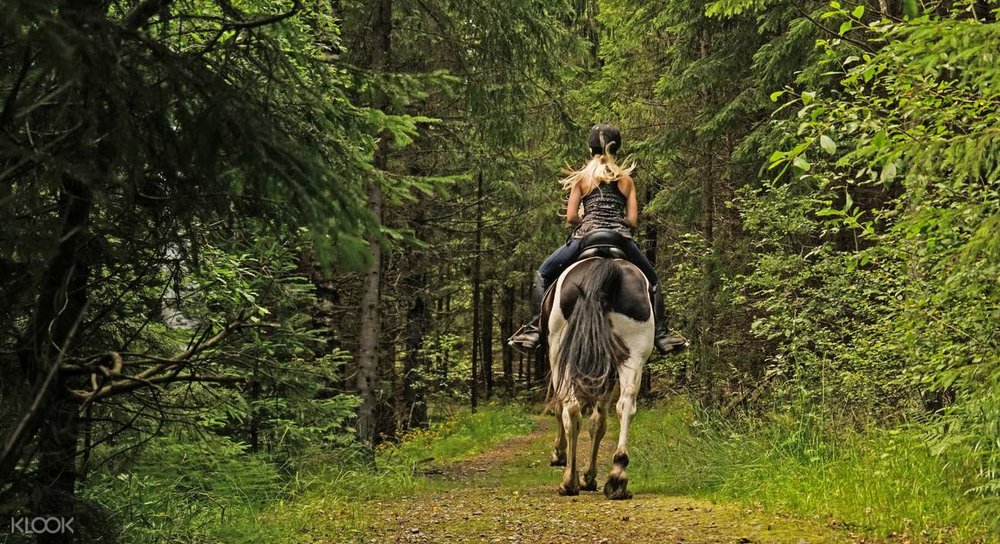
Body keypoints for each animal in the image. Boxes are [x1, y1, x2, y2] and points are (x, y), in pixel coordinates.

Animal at [540, 238, 654, 500]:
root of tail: (606, 266)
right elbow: (598, 422)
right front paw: (590, 476)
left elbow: (564, 409)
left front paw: (560, 456)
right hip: (634, 350)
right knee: (625, 405)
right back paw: (618, 476)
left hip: (561, 349)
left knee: (571, 409)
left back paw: (569, 481)